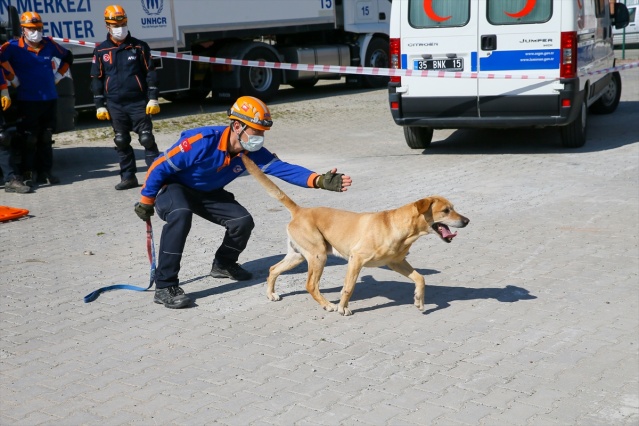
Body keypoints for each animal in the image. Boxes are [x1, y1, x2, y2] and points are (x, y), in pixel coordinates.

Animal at [240, 155, 470, 314]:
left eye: (453, 208)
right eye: (446, 211)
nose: (467, 221)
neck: (398, 227)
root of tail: (300, 210)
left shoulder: (395, 262)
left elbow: (420, 278)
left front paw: (419, 300)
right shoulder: (356, 259)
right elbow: (348, 287)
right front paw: (343, 308)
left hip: (297, 256)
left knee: (273, 269)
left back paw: (271, 293)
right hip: (318, 255)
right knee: (310, 285)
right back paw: (328, 305)